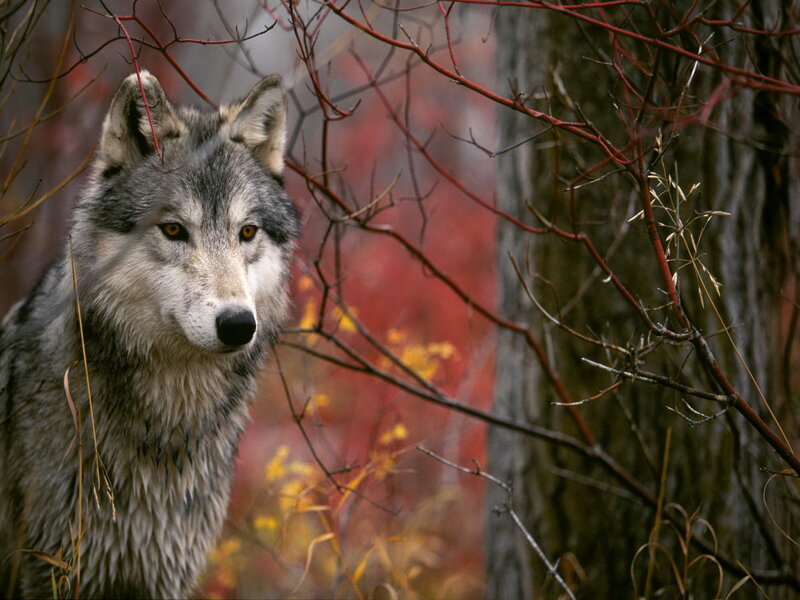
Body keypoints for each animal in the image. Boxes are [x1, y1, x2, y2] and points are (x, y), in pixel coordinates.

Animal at [0, 71, 298, 597]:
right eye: (174, 230)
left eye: (247, 232)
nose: (238, 324)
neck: (166, 432)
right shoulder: (48, 571)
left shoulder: (164, 574)